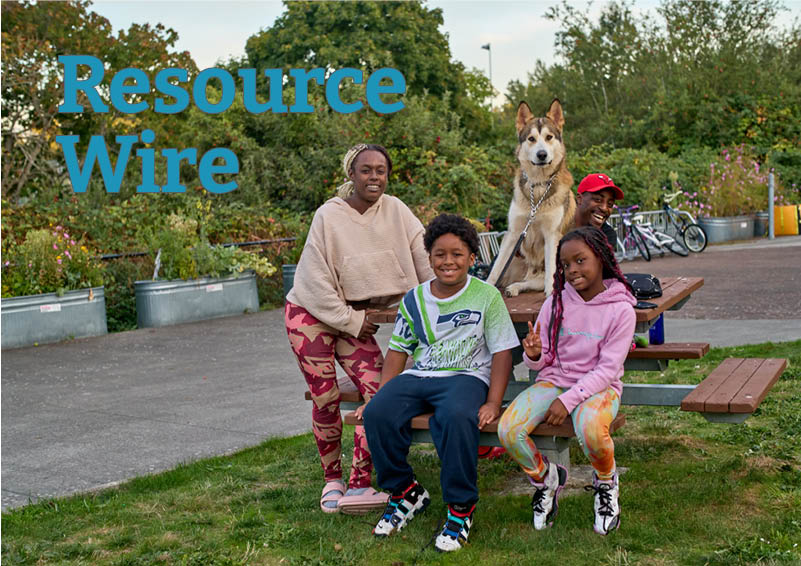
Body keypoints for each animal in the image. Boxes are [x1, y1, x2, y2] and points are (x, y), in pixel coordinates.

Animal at [484, 100, 572, 300]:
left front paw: (551, 295)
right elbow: (496, 269)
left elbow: (551, 272)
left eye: (549, 137)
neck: (538, 187)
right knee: (527, 281)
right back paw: (513, 288)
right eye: (531, 139)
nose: (542, 155)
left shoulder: (552, 235)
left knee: (539, 280)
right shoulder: (514, 233)